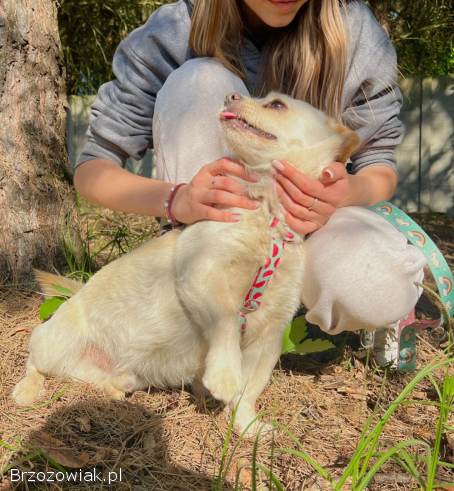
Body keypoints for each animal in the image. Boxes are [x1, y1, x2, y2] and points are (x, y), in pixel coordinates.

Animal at [12, 93, 358, 438]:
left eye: (276, 104)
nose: (231, 96)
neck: (267, 219)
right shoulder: (202, 274)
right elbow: (227, 321)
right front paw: (223, 375)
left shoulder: (270, 335)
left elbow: (249, 390)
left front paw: (247, 427)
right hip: (55, 344)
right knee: (34, 360)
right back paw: (27, 389)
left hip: (120, 374)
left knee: (96, 378)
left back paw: (113, 389)